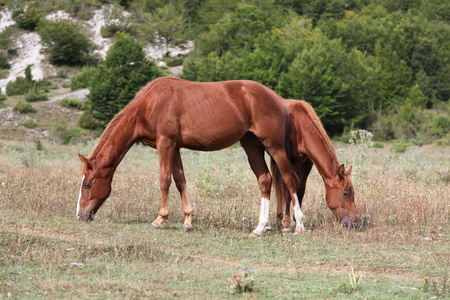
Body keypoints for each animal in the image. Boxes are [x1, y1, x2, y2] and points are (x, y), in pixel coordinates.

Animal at [76, 76, 302, 236]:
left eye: (87, 184)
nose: (80, 215)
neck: (151, 103)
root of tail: (279, 99)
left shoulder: (165, 143)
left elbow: (164, 180)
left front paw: (159, 220)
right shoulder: (175, 147)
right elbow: (180, 181)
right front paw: (187, 222)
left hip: (274, 147)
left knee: (290, 179)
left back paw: (298, 226)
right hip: (252, 145)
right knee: (265, 180)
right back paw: (260, 228)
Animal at [270, 98, 358, 232]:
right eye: (345, 193)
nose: (354, 223)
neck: (299, 127)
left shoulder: (307, 162)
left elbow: (300, 189)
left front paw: (297, 221)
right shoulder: (288, 161)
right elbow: (288, 191)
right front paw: (287, 225)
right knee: (279, 187)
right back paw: (279, 220)